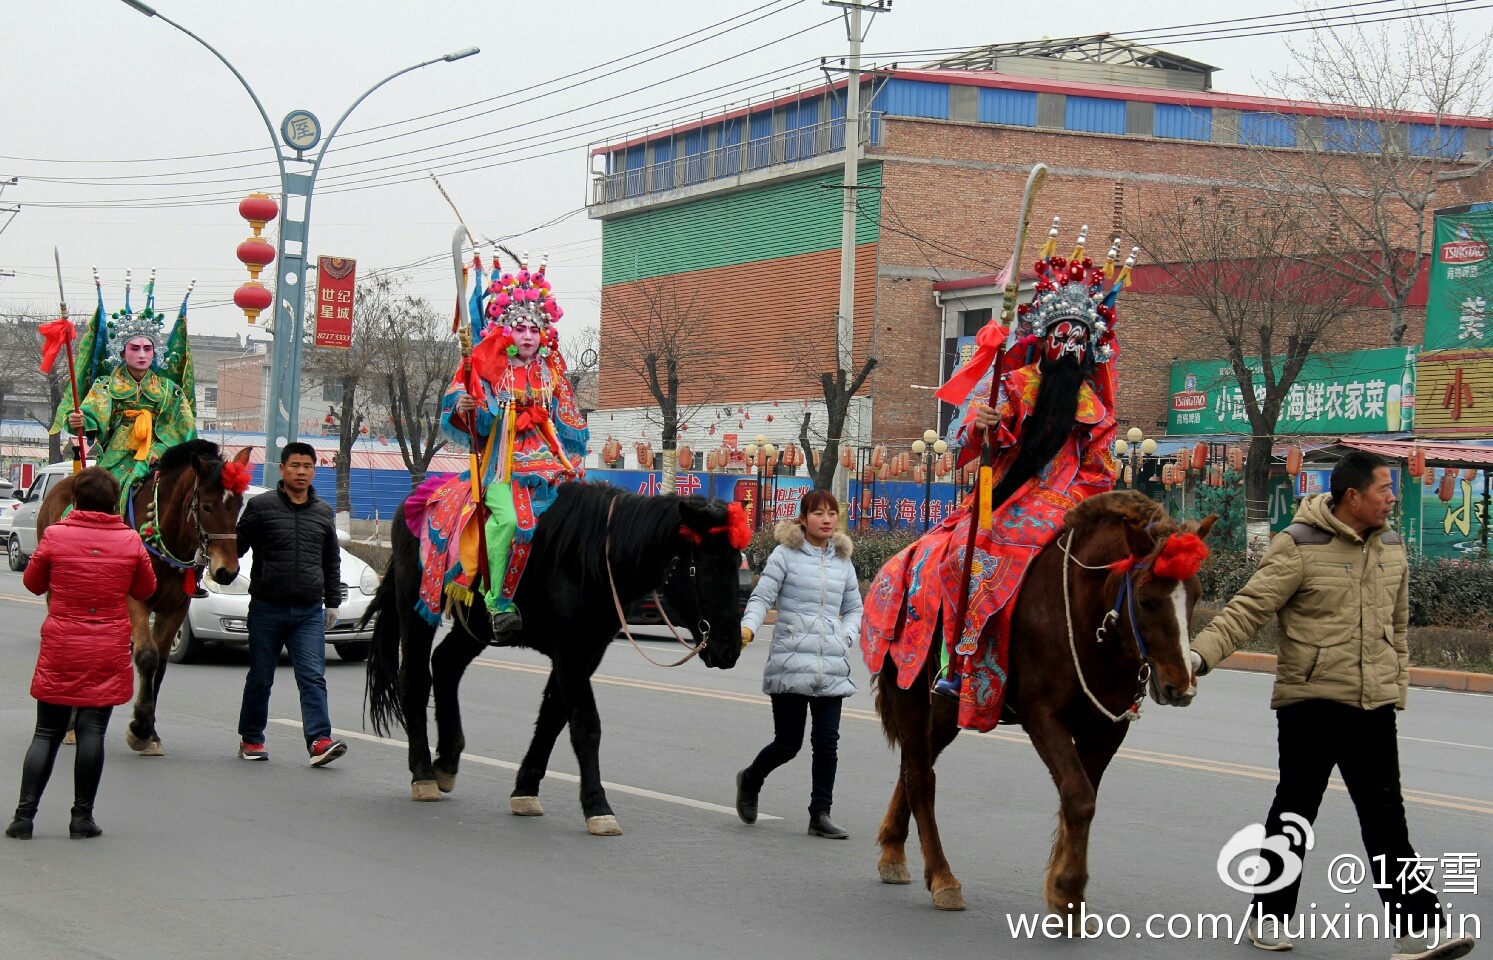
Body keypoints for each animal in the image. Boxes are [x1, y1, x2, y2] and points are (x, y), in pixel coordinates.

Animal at [38, 438, 250, 758]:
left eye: (237, 506)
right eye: (206, 506)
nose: (227, 572)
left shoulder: (177, 607)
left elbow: (160, 664)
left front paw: (150, 732)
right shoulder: (135, 600)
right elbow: (147, 656)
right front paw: (138, 729)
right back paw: (73, 725)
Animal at [365, 483, 746, 836]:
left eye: (735, 564)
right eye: (706, 566)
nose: (729, 650)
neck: (596, 556)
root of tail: (416, 499)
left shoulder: (588, 653)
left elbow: (553, 717)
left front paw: (525, 789)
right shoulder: (570, 652)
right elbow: (585, 724)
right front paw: (597, 806)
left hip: (475, 626)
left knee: (446, 664)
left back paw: (446, 761)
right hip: (417, 608)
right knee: (415, 679)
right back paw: (423, 774)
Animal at [871, 492, 1212, 925]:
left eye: (1196, 595)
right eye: (1146, 601)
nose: (1180, 685)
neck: (1088, 624)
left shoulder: (1107, 728)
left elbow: (1080, 798)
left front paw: (1065, 894)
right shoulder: (1043, 716)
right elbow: (1078, 796)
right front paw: (1067, 889)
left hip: (947, 708)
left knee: (917, 764)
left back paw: (893, 850)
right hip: (909, 688)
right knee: (920, 777)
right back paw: (944, 878)